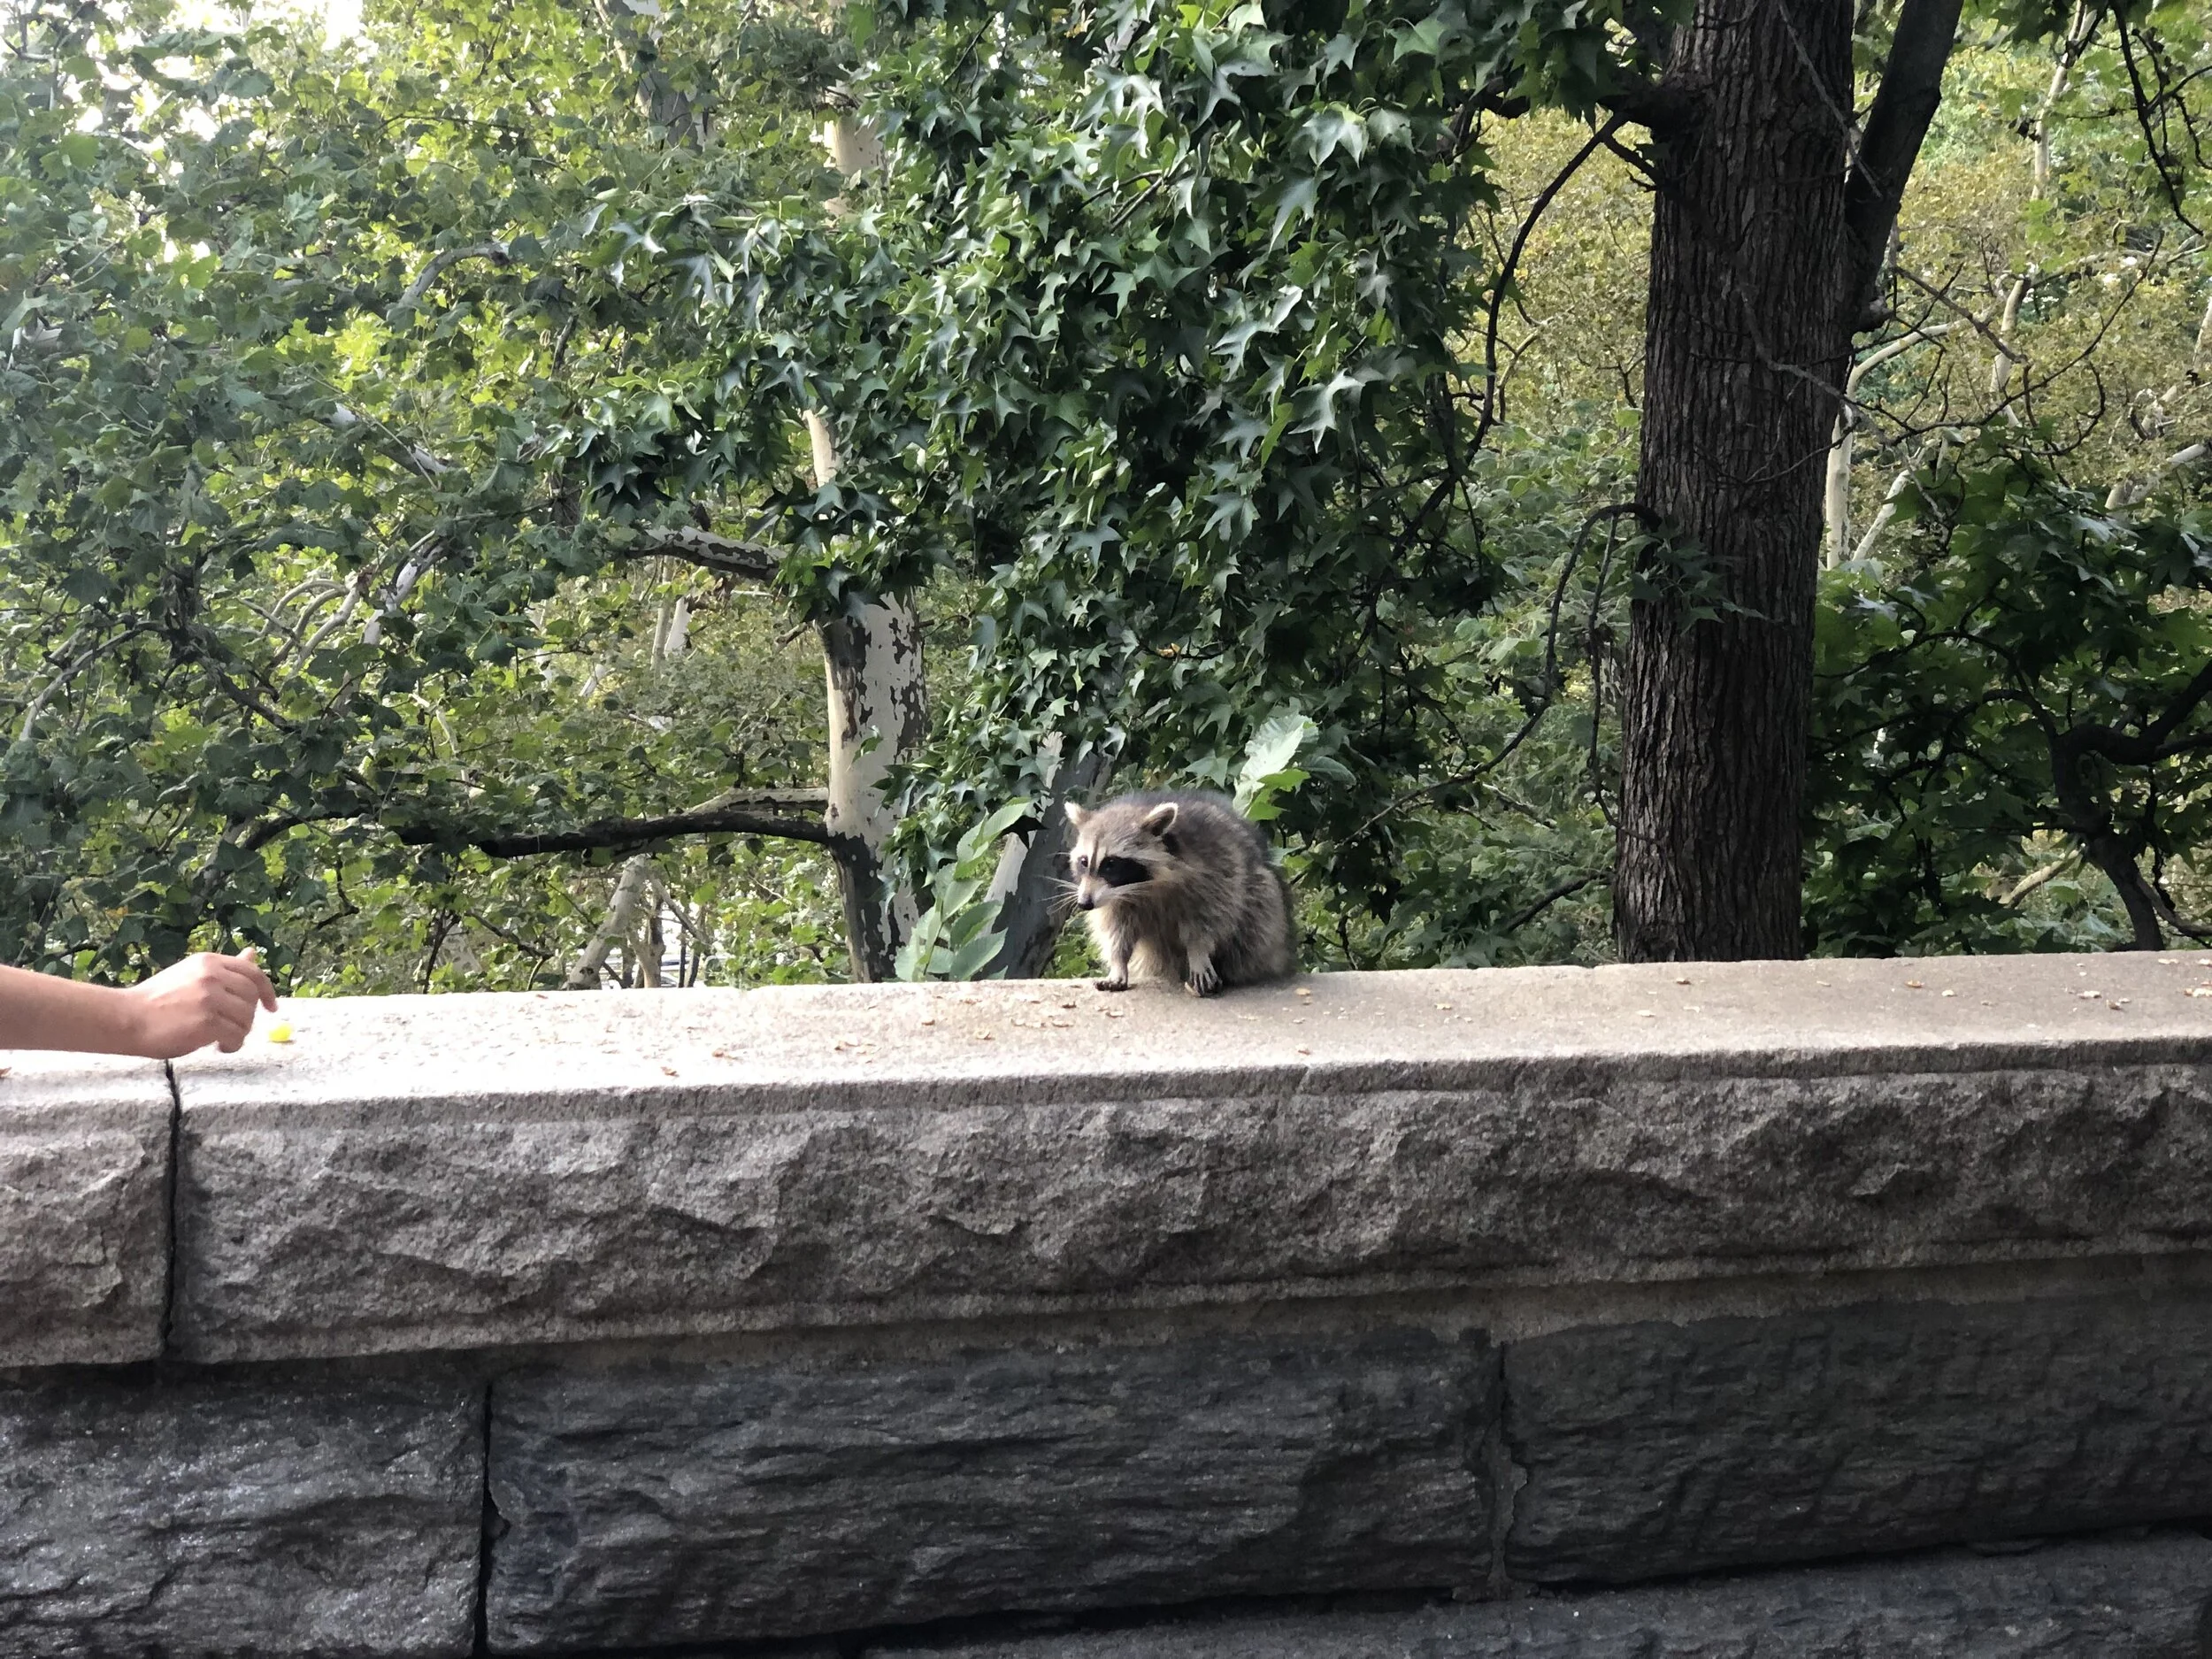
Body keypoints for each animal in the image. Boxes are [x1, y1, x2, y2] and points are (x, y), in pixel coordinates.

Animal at [1064, 791, 1295, 996]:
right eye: (1084, 862)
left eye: (1110, 864)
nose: (1084, 903)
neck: (1143, 887)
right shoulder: (1116, 901)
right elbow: (1117, 930)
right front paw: (1118, 963)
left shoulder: (1216, 869)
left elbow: (1211, 917)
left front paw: (1198, 952)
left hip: (1265, 905)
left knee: (1258, 909)